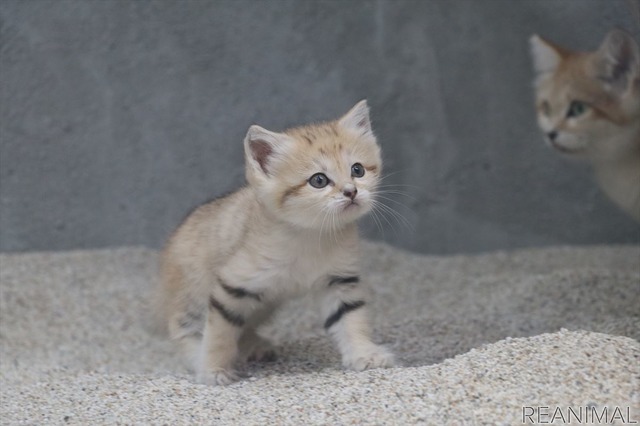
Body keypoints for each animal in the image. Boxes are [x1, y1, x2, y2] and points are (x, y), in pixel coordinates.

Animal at [156, 100, 396, 386]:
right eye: (319, 180)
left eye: (357, 170)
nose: (351, 191)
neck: (310, 235)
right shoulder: (232, 285)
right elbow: (219, 332)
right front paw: (213, 369)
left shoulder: (339, 280)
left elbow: (351, 318)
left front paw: (364, 354)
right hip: (192, 294)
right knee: (183, 327)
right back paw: (198, 357)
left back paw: (254, 347)